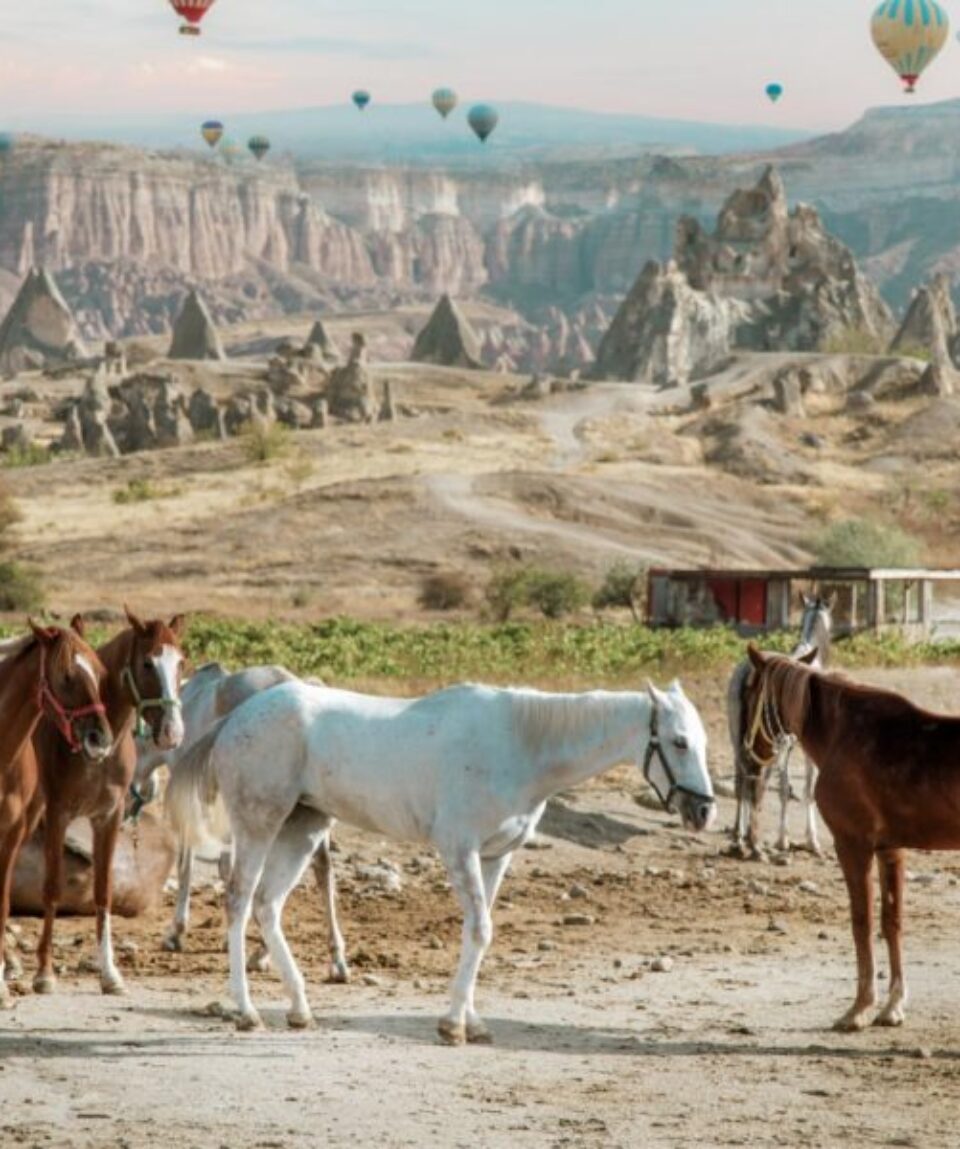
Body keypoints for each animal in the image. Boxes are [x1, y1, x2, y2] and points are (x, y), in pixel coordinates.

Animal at [28, 611, 186, 997]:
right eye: (147, 663)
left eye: (181, 663)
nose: (172, 733)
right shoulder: (57, 814)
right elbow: (51, 887)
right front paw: (44, 972)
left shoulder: (108, 818)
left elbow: (103, 890)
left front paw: (110, 973)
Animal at [131, 666, 349, 978]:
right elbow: (227, 868)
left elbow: (190, 864)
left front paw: (177, 932)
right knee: (321, 867)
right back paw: (334, 959)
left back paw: (265, 953)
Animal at [168, 675, 716, 1047]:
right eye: (678, 741)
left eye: (703, 741)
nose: (704, 811)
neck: (519, 745)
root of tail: (235, 718)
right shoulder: (460, 851)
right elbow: (481, 930)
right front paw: (453, 1025)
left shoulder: (494, 858)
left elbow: (480, 931)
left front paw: (471, 1021)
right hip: (259, 824)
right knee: (240, 901)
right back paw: (246, 1011)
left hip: (303, 830)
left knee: (268, 905)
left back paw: (301, 1009)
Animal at [744, 648, 960, 1034]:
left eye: (751, 689)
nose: (751, 750)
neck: (843, 732)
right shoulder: (891, 850)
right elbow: (892, 922)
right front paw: (892, 1006)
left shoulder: (852, 847)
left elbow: (862, 923)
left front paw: (858, 1009)